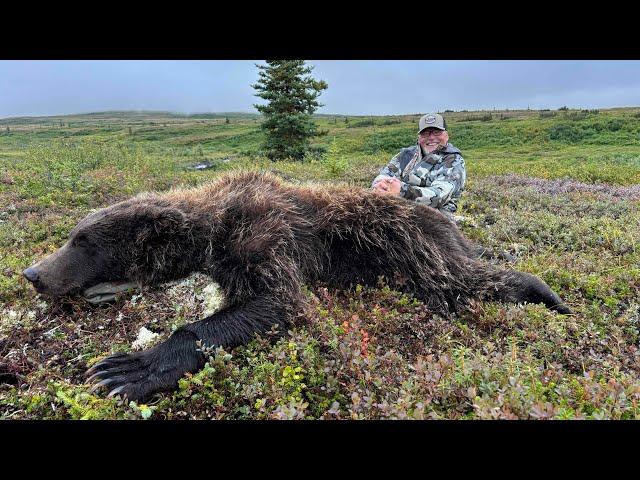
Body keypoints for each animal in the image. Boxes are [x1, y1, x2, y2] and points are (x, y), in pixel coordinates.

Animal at [22, 171, 568, 400]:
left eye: (82, 240)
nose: (32, 274)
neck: (214, 224)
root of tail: (451, 227)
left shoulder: (267, 233)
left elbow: (279, 302)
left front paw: (130, 369)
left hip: (416, 249)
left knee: (468, 279)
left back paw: (549, 295)